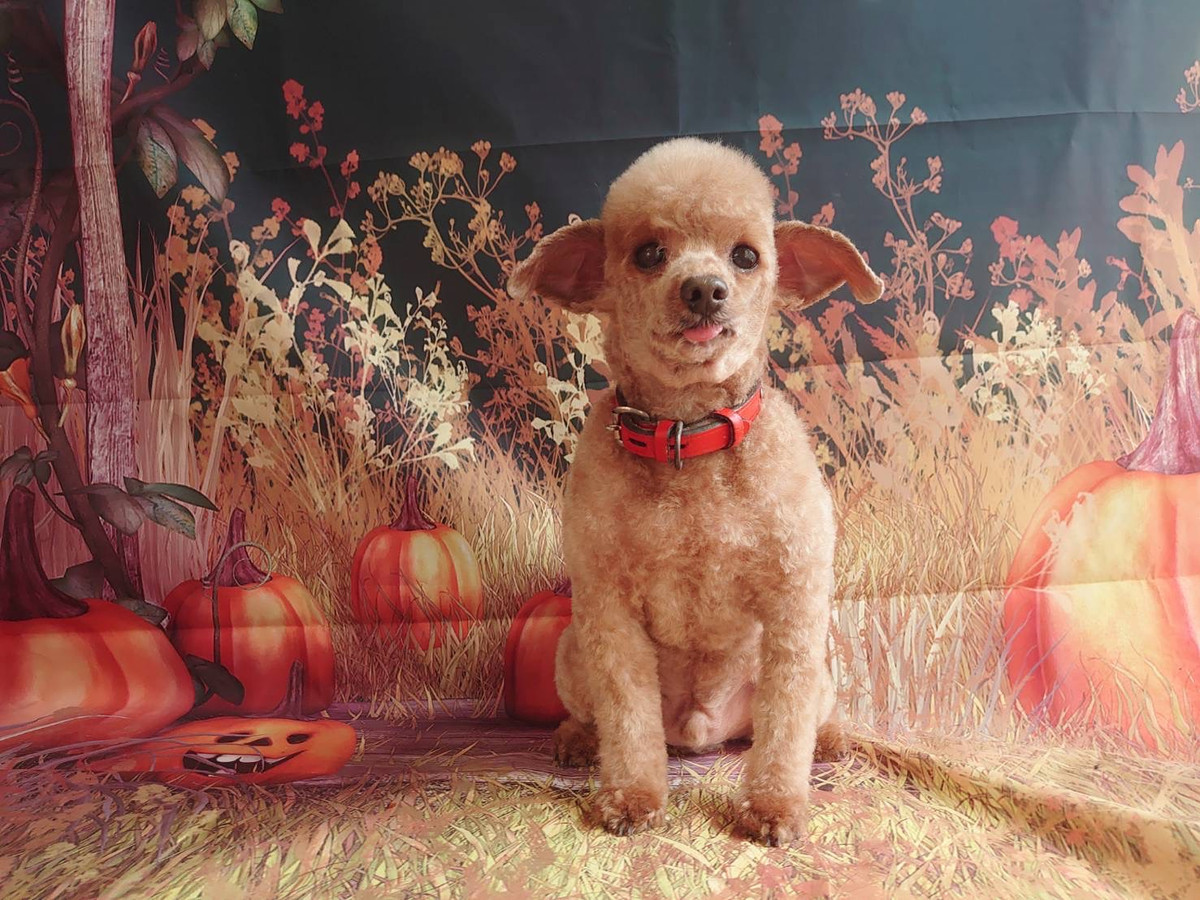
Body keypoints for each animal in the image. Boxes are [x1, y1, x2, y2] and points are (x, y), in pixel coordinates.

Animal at [507, 137, 883, 845]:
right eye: (649, 254)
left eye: (746, 256)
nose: (705, 289)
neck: (691, 437)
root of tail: (702, 729)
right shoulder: (609, 610)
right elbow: (627, 718)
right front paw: (631, 797)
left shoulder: (796, 604)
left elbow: (785, 727)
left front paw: (775, 806)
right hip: (571, 651)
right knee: (597, 715)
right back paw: (576, 739)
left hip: (818, 672)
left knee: (800, 718)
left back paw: (832, 739)